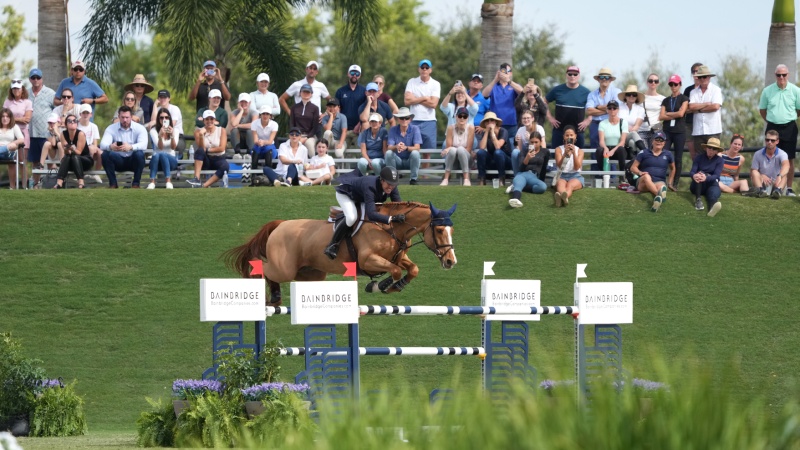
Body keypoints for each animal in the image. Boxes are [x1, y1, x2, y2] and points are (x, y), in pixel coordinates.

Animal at [225, 201, 456, 304]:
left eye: (451, 230)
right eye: (439, 230)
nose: (451, 261)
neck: (391, 228)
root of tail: (280, 224)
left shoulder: (399, 257)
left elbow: (412, 269)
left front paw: (395, 286)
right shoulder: (367, 259)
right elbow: (396, 270)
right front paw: (380, 285)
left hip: (312, 273)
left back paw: (275, 297)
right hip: (284, 269)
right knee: (262, 270)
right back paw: (270, 294)